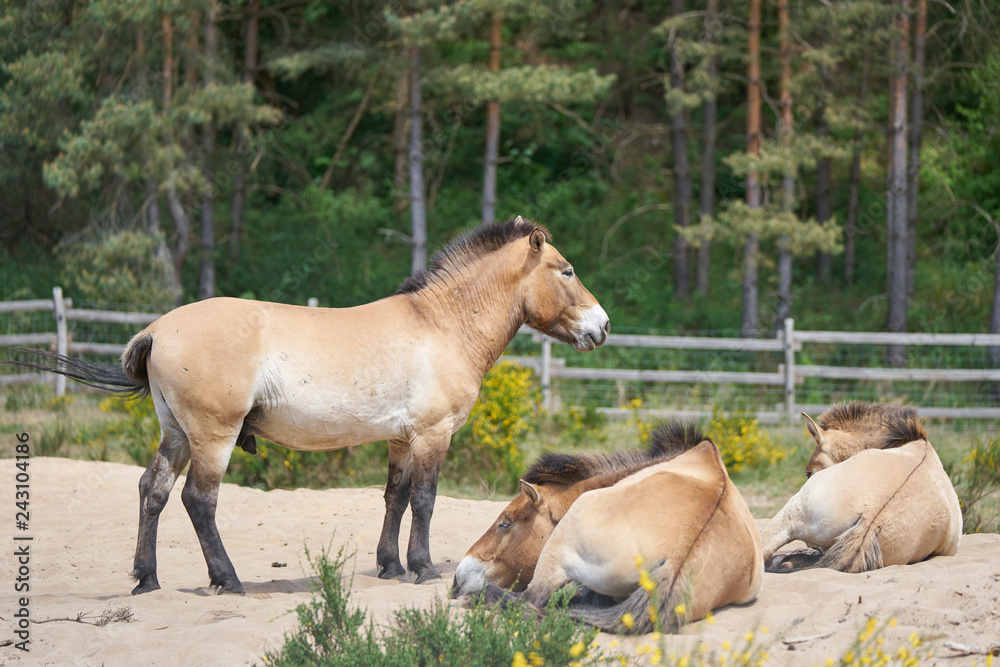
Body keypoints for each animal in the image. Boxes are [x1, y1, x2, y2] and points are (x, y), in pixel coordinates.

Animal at [7, 216, 609, 594]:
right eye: (567, 270)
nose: (602, 326)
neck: (440, 324)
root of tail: (157, 329)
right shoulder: (433, 434)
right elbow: (424, 501)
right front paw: (422, 568)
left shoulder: (400, 438)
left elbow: (394, 498)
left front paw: (390, 566)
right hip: (212, 438)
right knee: (199, 501)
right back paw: (228, 580)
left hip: (175, 434)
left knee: (150, 490)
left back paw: (146, 578)